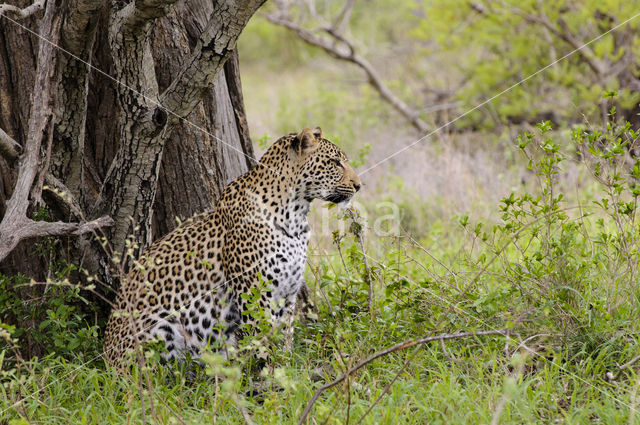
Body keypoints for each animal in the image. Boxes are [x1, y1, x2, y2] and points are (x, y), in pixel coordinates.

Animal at [105, 126, 362, 368]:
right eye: (335, 162)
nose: (359, 186)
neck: (296, 214)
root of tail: (108, 361)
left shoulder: (287, 295)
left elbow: (285, 336)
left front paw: (287, 369)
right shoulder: (255, 293)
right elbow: (264, 339)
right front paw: (271, 375)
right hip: (159, 327)